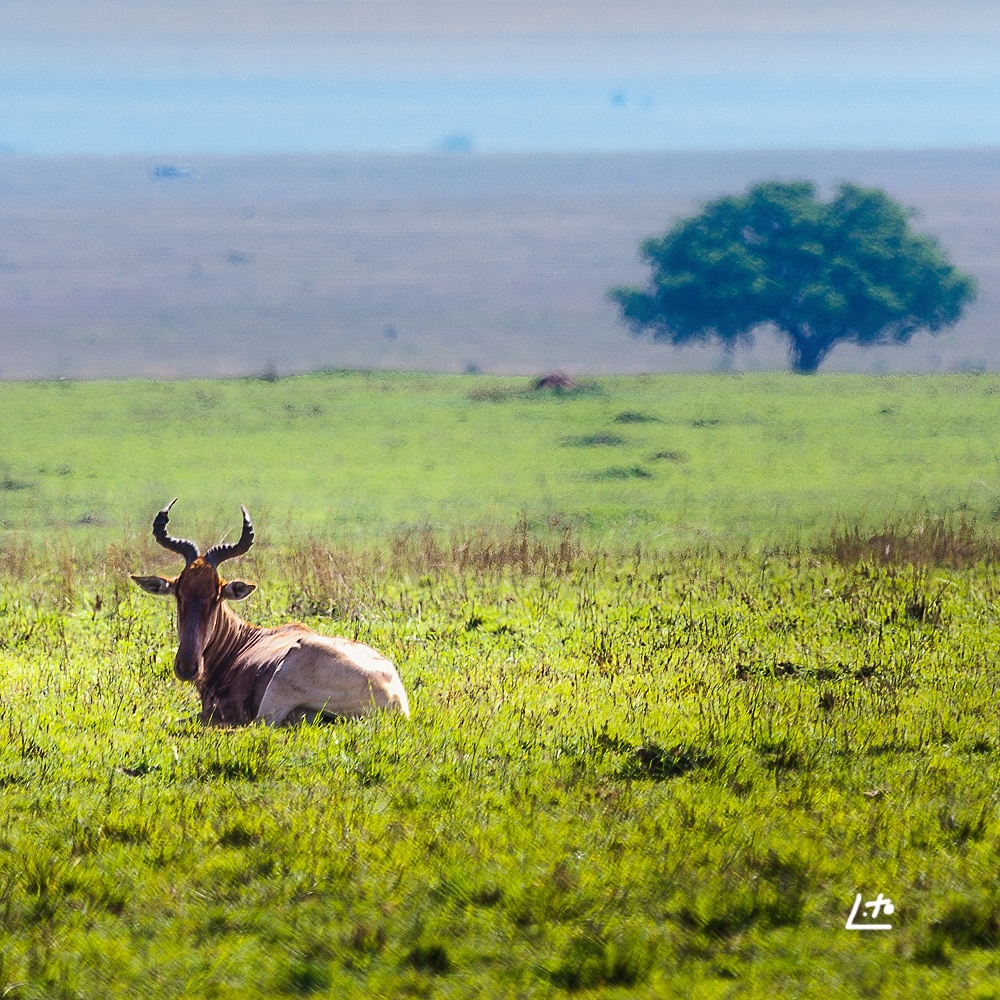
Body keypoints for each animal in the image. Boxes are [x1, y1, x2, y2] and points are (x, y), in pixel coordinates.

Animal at [131, 504, 408, 724]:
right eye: (179, 591)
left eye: (216, 594)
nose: (188, 667)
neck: (243, 640)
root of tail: (392, 698)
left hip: (276, 691)